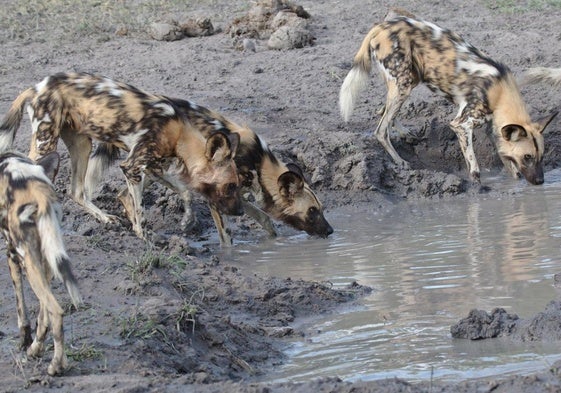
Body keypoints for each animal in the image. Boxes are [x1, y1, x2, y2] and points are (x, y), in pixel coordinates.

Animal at [0, 73, 242, 239]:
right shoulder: (132, 166)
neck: (179, 132)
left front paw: (187, 221)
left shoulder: (154, 167)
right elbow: (140, 209)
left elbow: (185, 192)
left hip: (82, 144)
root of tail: (36, 87)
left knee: (76, 191)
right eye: (230, 186)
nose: (239, 211)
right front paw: (144, 236)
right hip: (46, 141)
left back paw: (105, 218)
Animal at [0, 151, 81, 376]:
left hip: (28, 259)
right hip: (45, 258)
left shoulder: (11, 256)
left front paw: (23, 341)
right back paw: (39, 351)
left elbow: (21, 309)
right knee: (46, 314)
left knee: (56, 310)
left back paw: (54, 366)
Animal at [88, 118, 332, 245]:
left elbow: (265, 220)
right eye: (311, 211)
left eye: (321, 208)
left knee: (123, 194)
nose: (330, 231)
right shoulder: (218, 200)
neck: (259, 162)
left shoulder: (237, 199)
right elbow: (227, 238)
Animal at [336, 10, 556, 185]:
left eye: (541, 156)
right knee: (380, 130)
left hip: (408, 80)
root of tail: (381, 25)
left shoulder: (492, 128)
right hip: (403, 85)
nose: (540, 181)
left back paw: (405, 134)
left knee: (383, 111)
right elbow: (474, 168)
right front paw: (478, 190)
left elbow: (510, 165)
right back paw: (400, 161)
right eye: (527, 156)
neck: (499, 90)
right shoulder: (462, 124)